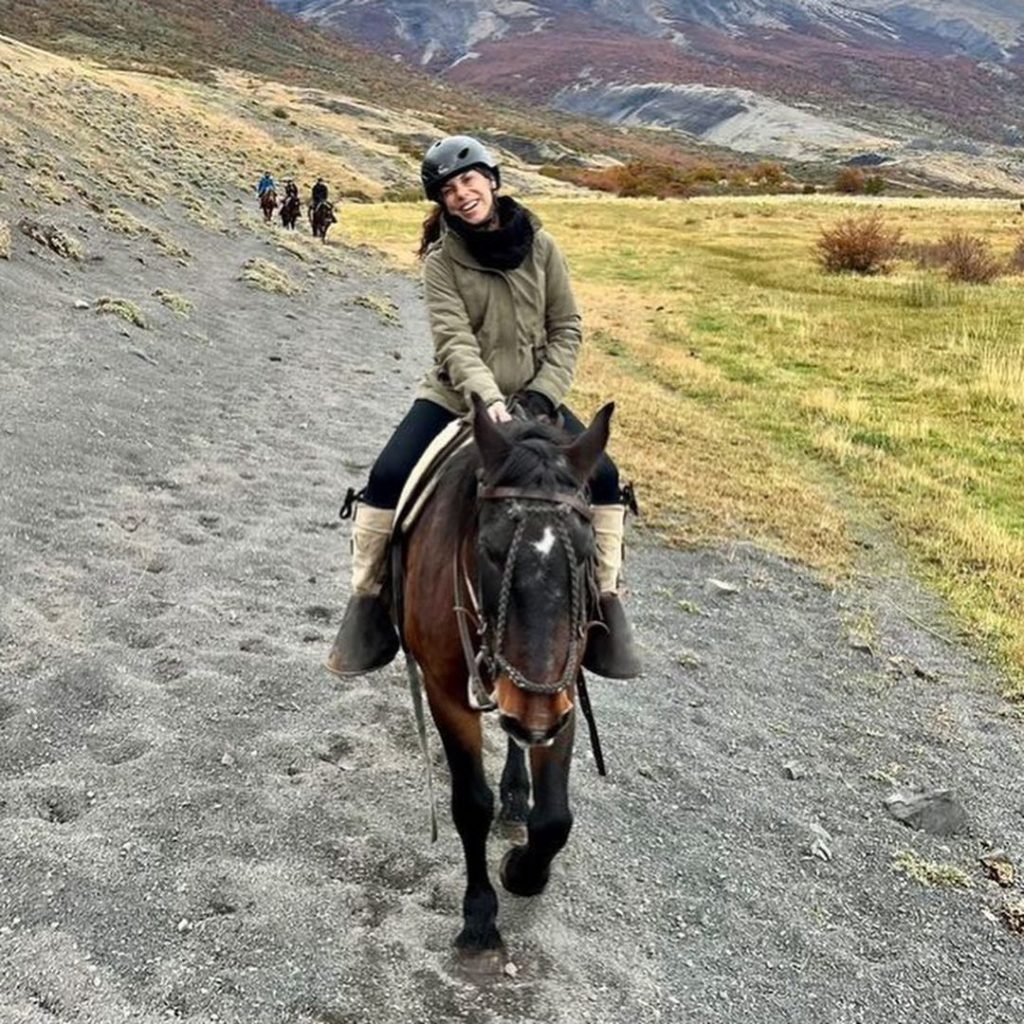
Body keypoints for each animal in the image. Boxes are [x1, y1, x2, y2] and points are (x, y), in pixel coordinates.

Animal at [397, 391, 606, 966]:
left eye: (587, 550)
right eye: (490, 549)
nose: (534, 714)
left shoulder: (561, 691)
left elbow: (554, 818)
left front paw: (523, 871)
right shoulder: (447, 692)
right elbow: (470, 804)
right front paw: (479, 916)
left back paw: (516, 790)